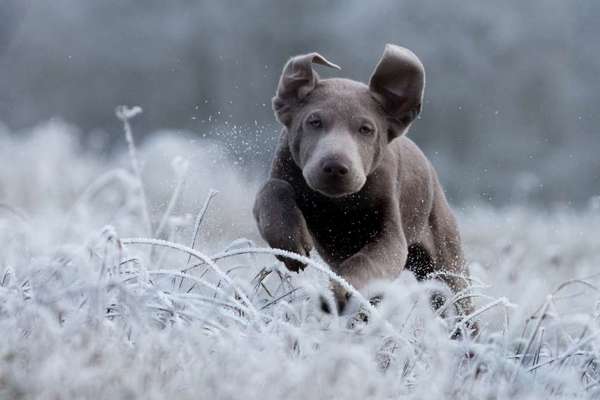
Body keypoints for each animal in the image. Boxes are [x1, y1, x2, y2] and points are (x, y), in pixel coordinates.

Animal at [253, 43, 474, 324]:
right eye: (314, 122)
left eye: (366, 129)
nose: (335, 166)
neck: (337, 203)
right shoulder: (283, 170)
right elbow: (271, 190)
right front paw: (290, 241)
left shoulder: (390, 231)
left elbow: (369, 260)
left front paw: (341, 289)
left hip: (445, 263)